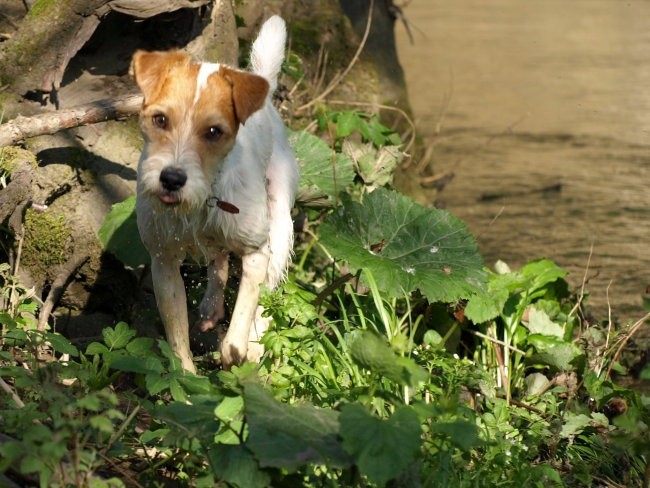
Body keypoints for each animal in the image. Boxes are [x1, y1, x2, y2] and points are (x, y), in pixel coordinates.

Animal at [132, 17, 298, 372]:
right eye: (160, 119)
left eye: (213, 132)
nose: (172, 178)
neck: (202, 201)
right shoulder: (163, 261)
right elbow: (177, 335)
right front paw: (185, 375)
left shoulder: (256, 251)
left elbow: (241, 321)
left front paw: (237, 349)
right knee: (218, 262)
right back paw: (212, 307)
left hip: (279, 227)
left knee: (268, 293)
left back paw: (255, 344)